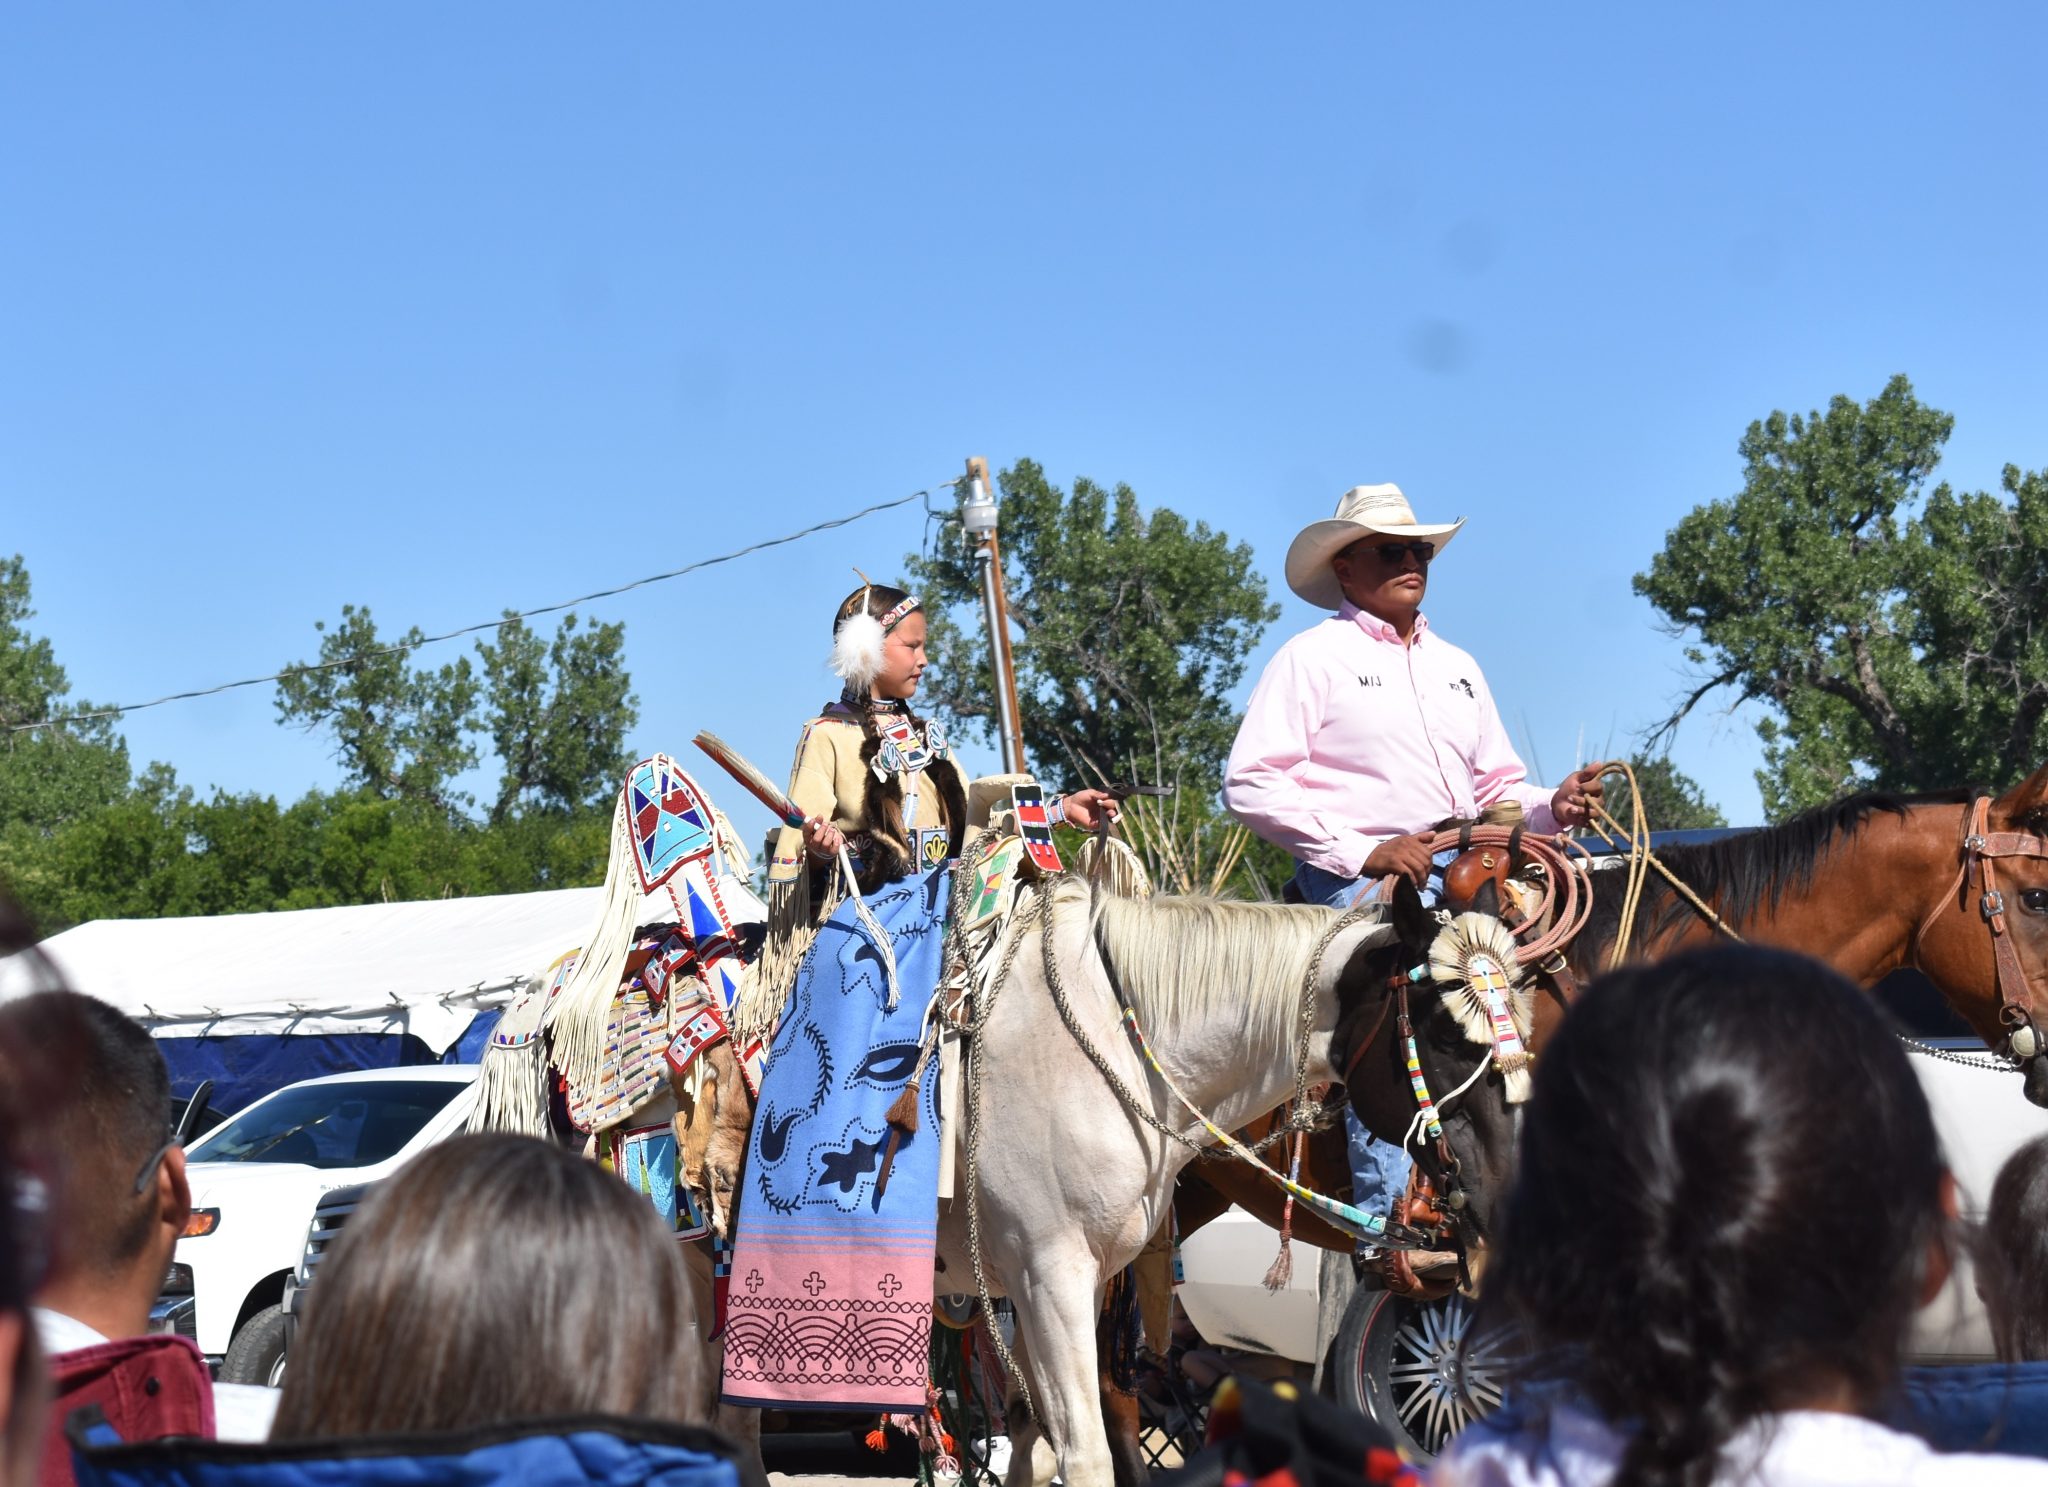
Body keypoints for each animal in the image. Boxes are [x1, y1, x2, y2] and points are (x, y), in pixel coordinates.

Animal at [937, 880, 1523, 1487]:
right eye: (1446, 1033)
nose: (1508, 1199)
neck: (1108, 1042)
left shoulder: (1074, 1279)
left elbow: (1037, 1438)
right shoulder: (1049, 1272)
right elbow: (1082, 1452)